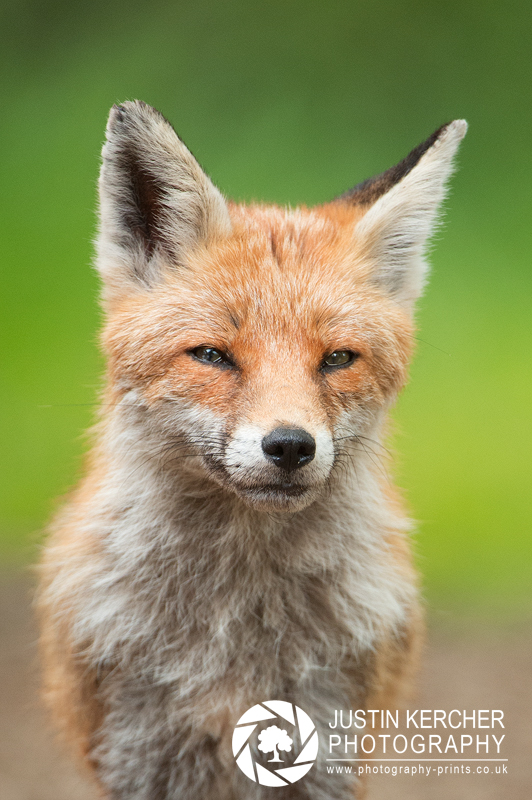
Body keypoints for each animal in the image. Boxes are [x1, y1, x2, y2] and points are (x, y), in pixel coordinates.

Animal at [37, 101, 466, 800]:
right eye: (213, 355)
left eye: (337, 359)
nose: (290, 446)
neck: (235, 626)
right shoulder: (136, 755)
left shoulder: (331, 747)